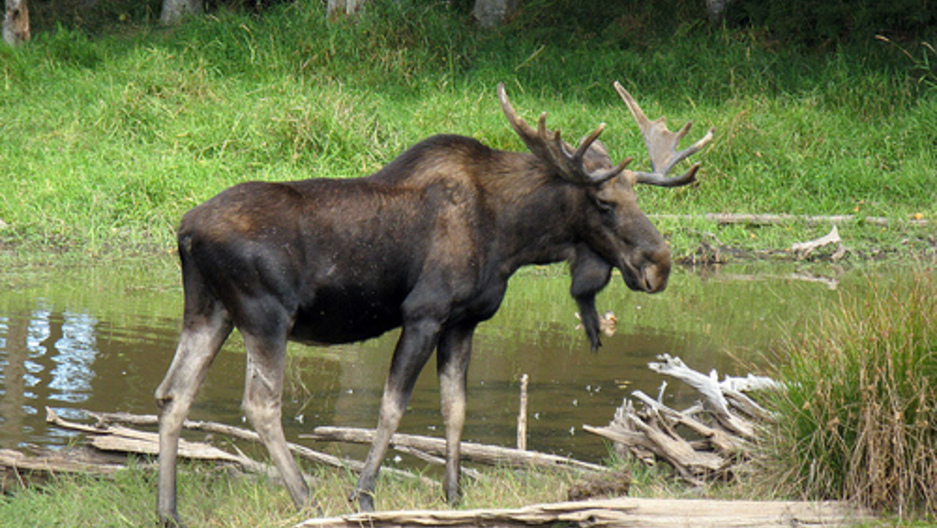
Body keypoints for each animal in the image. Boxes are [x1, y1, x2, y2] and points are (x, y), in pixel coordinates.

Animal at [154, 81, 713, 526]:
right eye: (604, 203)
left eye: (637, 196)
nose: (659, 264)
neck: (516, 238)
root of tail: (185, 231)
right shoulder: (423, 313)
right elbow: (392, 407)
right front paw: (364, 495)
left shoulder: (464, 322)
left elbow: (455, 409)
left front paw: (454, 493)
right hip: (264, 315)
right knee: (261, 403)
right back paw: (307, 499)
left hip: (209, 311)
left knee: (173, 393)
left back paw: (169, 509)